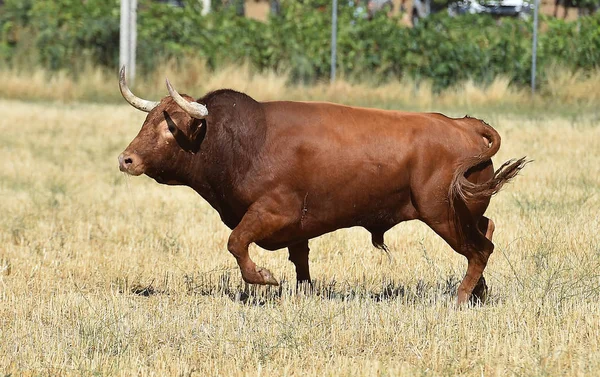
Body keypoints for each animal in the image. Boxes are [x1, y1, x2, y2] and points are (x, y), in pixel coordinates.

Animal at [116, 67, 524, 302]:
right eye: (148, 120)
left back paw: (460, 297)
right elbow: (300, 260)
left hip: (442, 214)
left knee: (479, 250)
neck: (245, 142)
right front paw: (304, 293)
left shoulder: (273, 212)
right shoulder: (296, 228)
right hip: (464, 212)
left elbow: (236, 243)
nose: (126, 159)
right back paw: (479, 291)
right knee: (485, 232)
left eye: (170, 127)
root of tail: (465, 125)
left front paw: (264, 278)